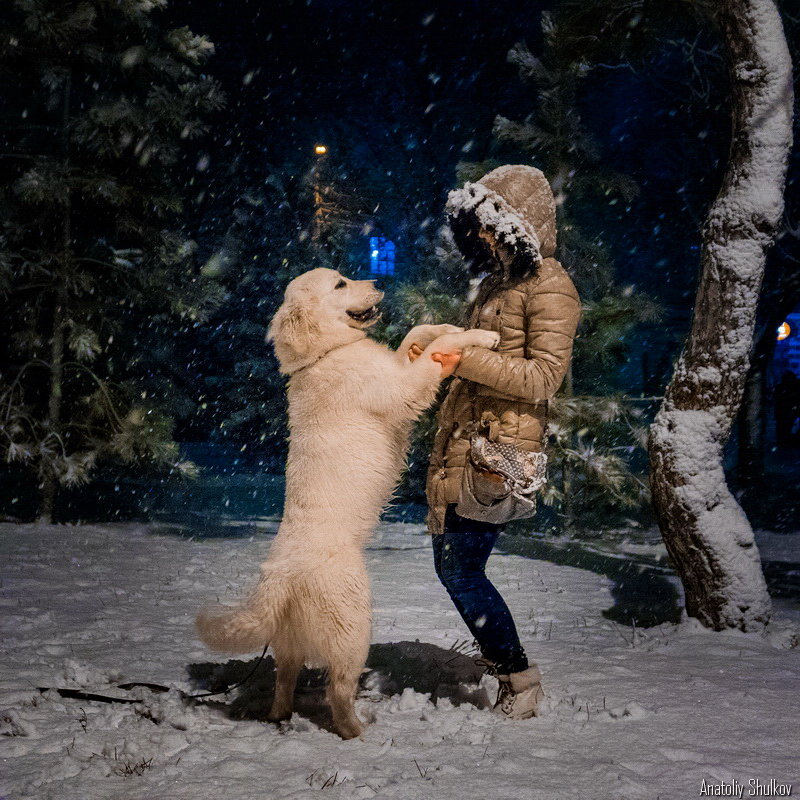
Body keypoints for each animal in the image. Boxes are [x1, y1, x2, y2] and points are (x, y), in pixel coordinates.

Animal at [197, 268, 496, 736]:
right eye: (339, 284)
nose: (377, 280)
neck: (326, 354)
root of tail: (279, 577)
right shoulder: (401, 387)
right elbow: (436, 349)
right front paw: (478, 336)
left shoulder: (396, 368)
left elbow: (417, 335)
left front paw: (443, 324)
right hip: (353, 629)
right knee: (336, 690)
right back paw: (359, 730)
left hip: (290, 642)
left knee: (284, 681)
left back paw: (283, 715)